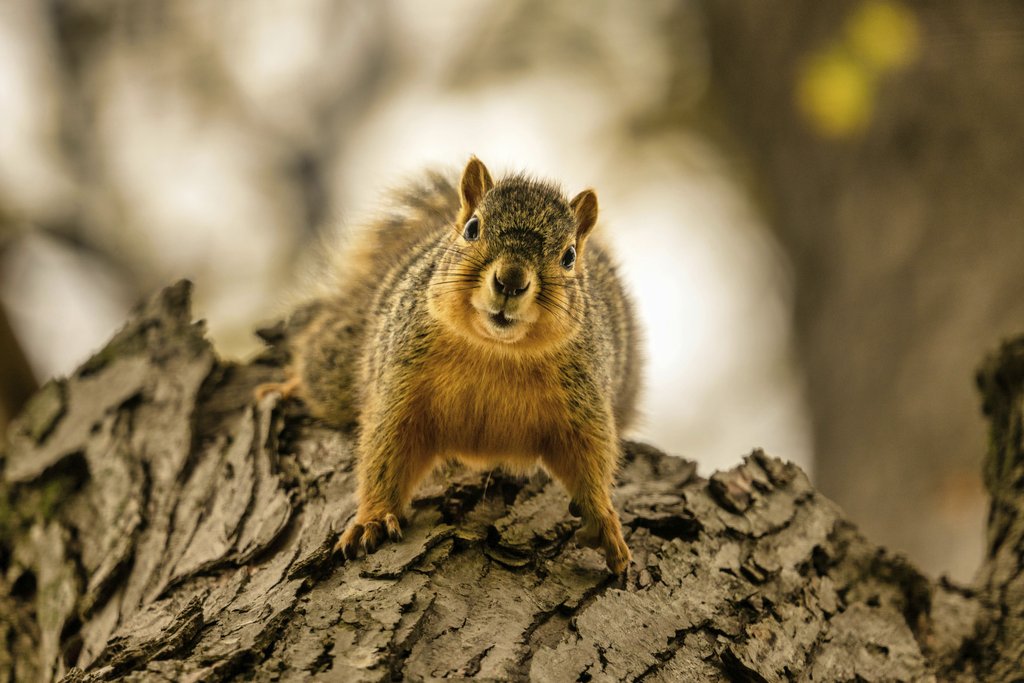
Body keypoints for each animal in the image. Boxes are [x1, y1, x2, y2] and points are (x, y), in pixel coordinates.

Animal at [260, 157, 642, 573]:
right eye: (473, 228)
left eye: (569, 256)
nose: (511, 281)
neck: (494, 351)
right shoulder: (399, 382)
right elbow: (385, 449)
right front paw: (372, 519)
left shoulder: (583, 400)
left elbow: (589, 458)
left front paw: (604, 520)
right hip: (339, 365)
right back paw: (288, 386)